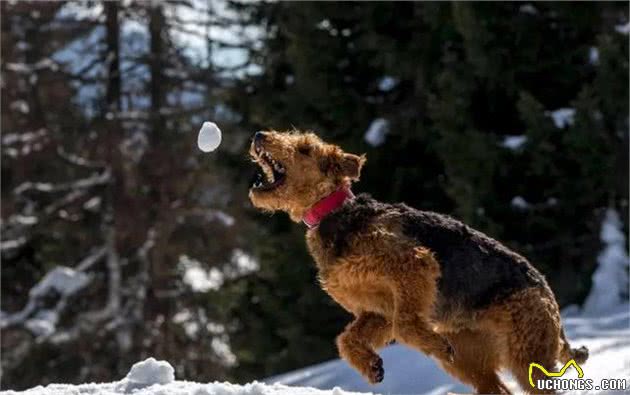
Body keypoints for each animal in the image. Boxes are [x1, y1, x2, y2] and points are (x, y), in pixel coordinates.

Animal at [249, 131, 592, 394]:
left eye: (305, 148)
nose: (259, 135)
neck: (335, 215)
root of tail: (546, 290)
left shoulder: (412, 265)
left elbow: (405, 323)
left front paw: (433, 344)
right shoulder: (376, 310)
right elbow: (346, 339)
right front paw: (372, 367)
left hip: (526, 354)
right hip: (472, 361)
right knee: (496, 388)